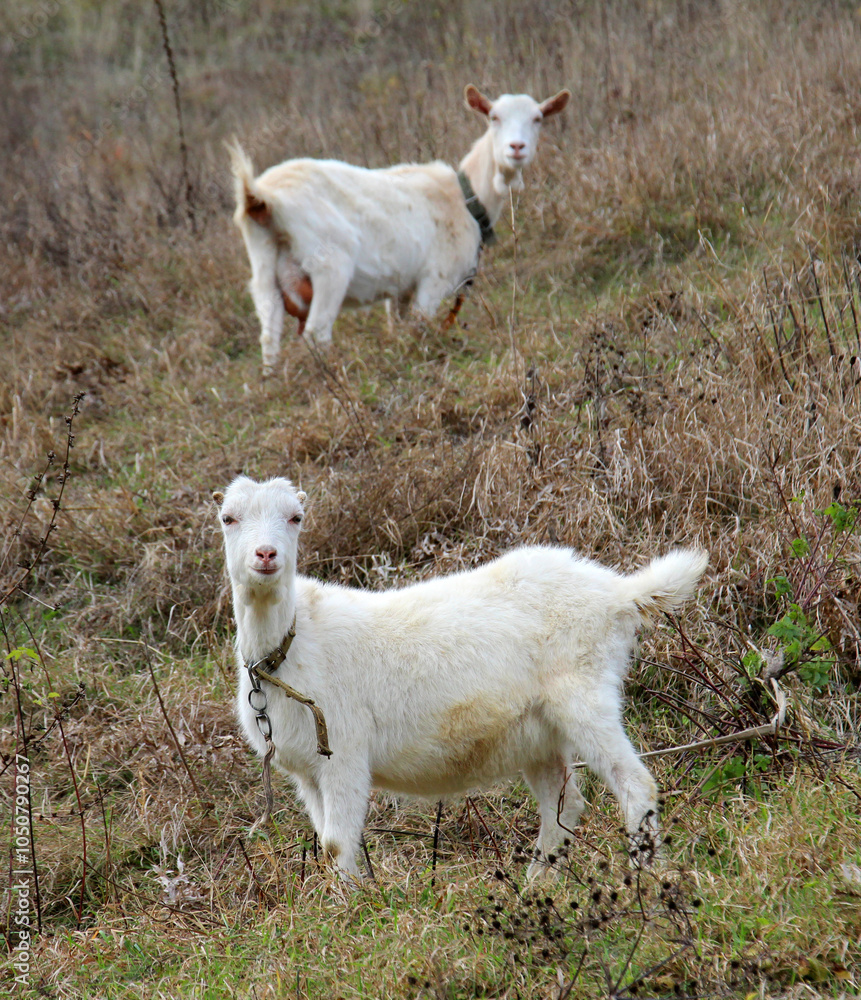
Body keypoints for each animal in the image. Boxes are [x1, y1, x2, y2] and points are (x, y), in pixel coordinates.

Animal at [214, 475, 708, 880]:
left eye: (296, 518)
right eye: (228, 518)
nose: (266, 555)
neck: (290, 647)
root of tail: (618, 595)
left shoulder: (345, 754)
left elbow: (337, 844)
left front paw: (353, 912)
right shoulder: (307, 771)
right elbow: (326, 841)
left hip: (585, 696)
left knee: (635, 784)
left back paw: (646, 878)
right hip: (539, 733)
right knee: (563, 804)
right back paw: (538, 884)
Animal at [229, 84, 570, 375]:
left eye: (537, 118)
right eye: (494, 117)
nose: (517, 147)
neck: (466, 197)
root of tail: (261, 198)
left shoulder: (402, 287)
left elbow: (399, 327)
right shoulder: (434, 278)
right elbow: (420, 326)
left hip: (264, 272)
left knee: (269, 337)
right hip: (329, 265)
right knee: (316, 333)